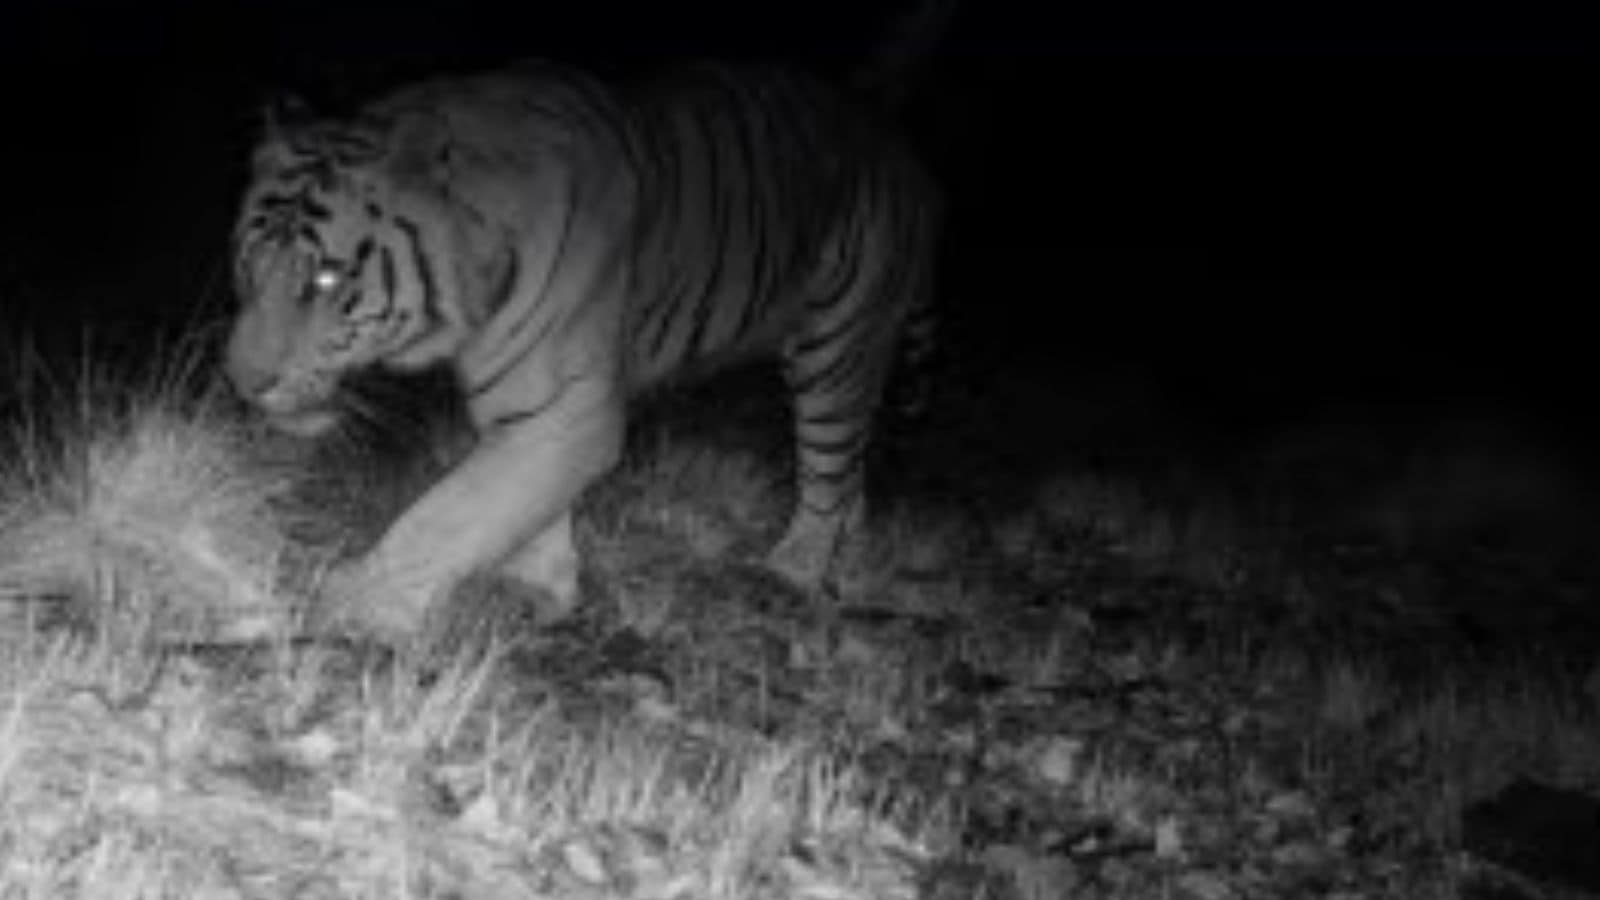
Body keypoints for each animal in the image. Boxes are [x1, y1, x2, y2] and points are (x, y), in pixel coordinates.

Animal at [225, 51, 943, 643]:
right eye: (249, 264)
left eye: (325, 279)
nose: (243, 381)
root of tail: (891, 134)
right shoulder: (526, 405)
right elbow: (520, 505)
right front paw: (539, 589)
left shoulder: (567, 408)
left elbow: (449, 512)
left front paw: (350, 603)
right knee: (852, 473)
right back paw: (844, 566)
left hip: (837, 347)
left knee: (829, 467)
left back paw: (791, 572)